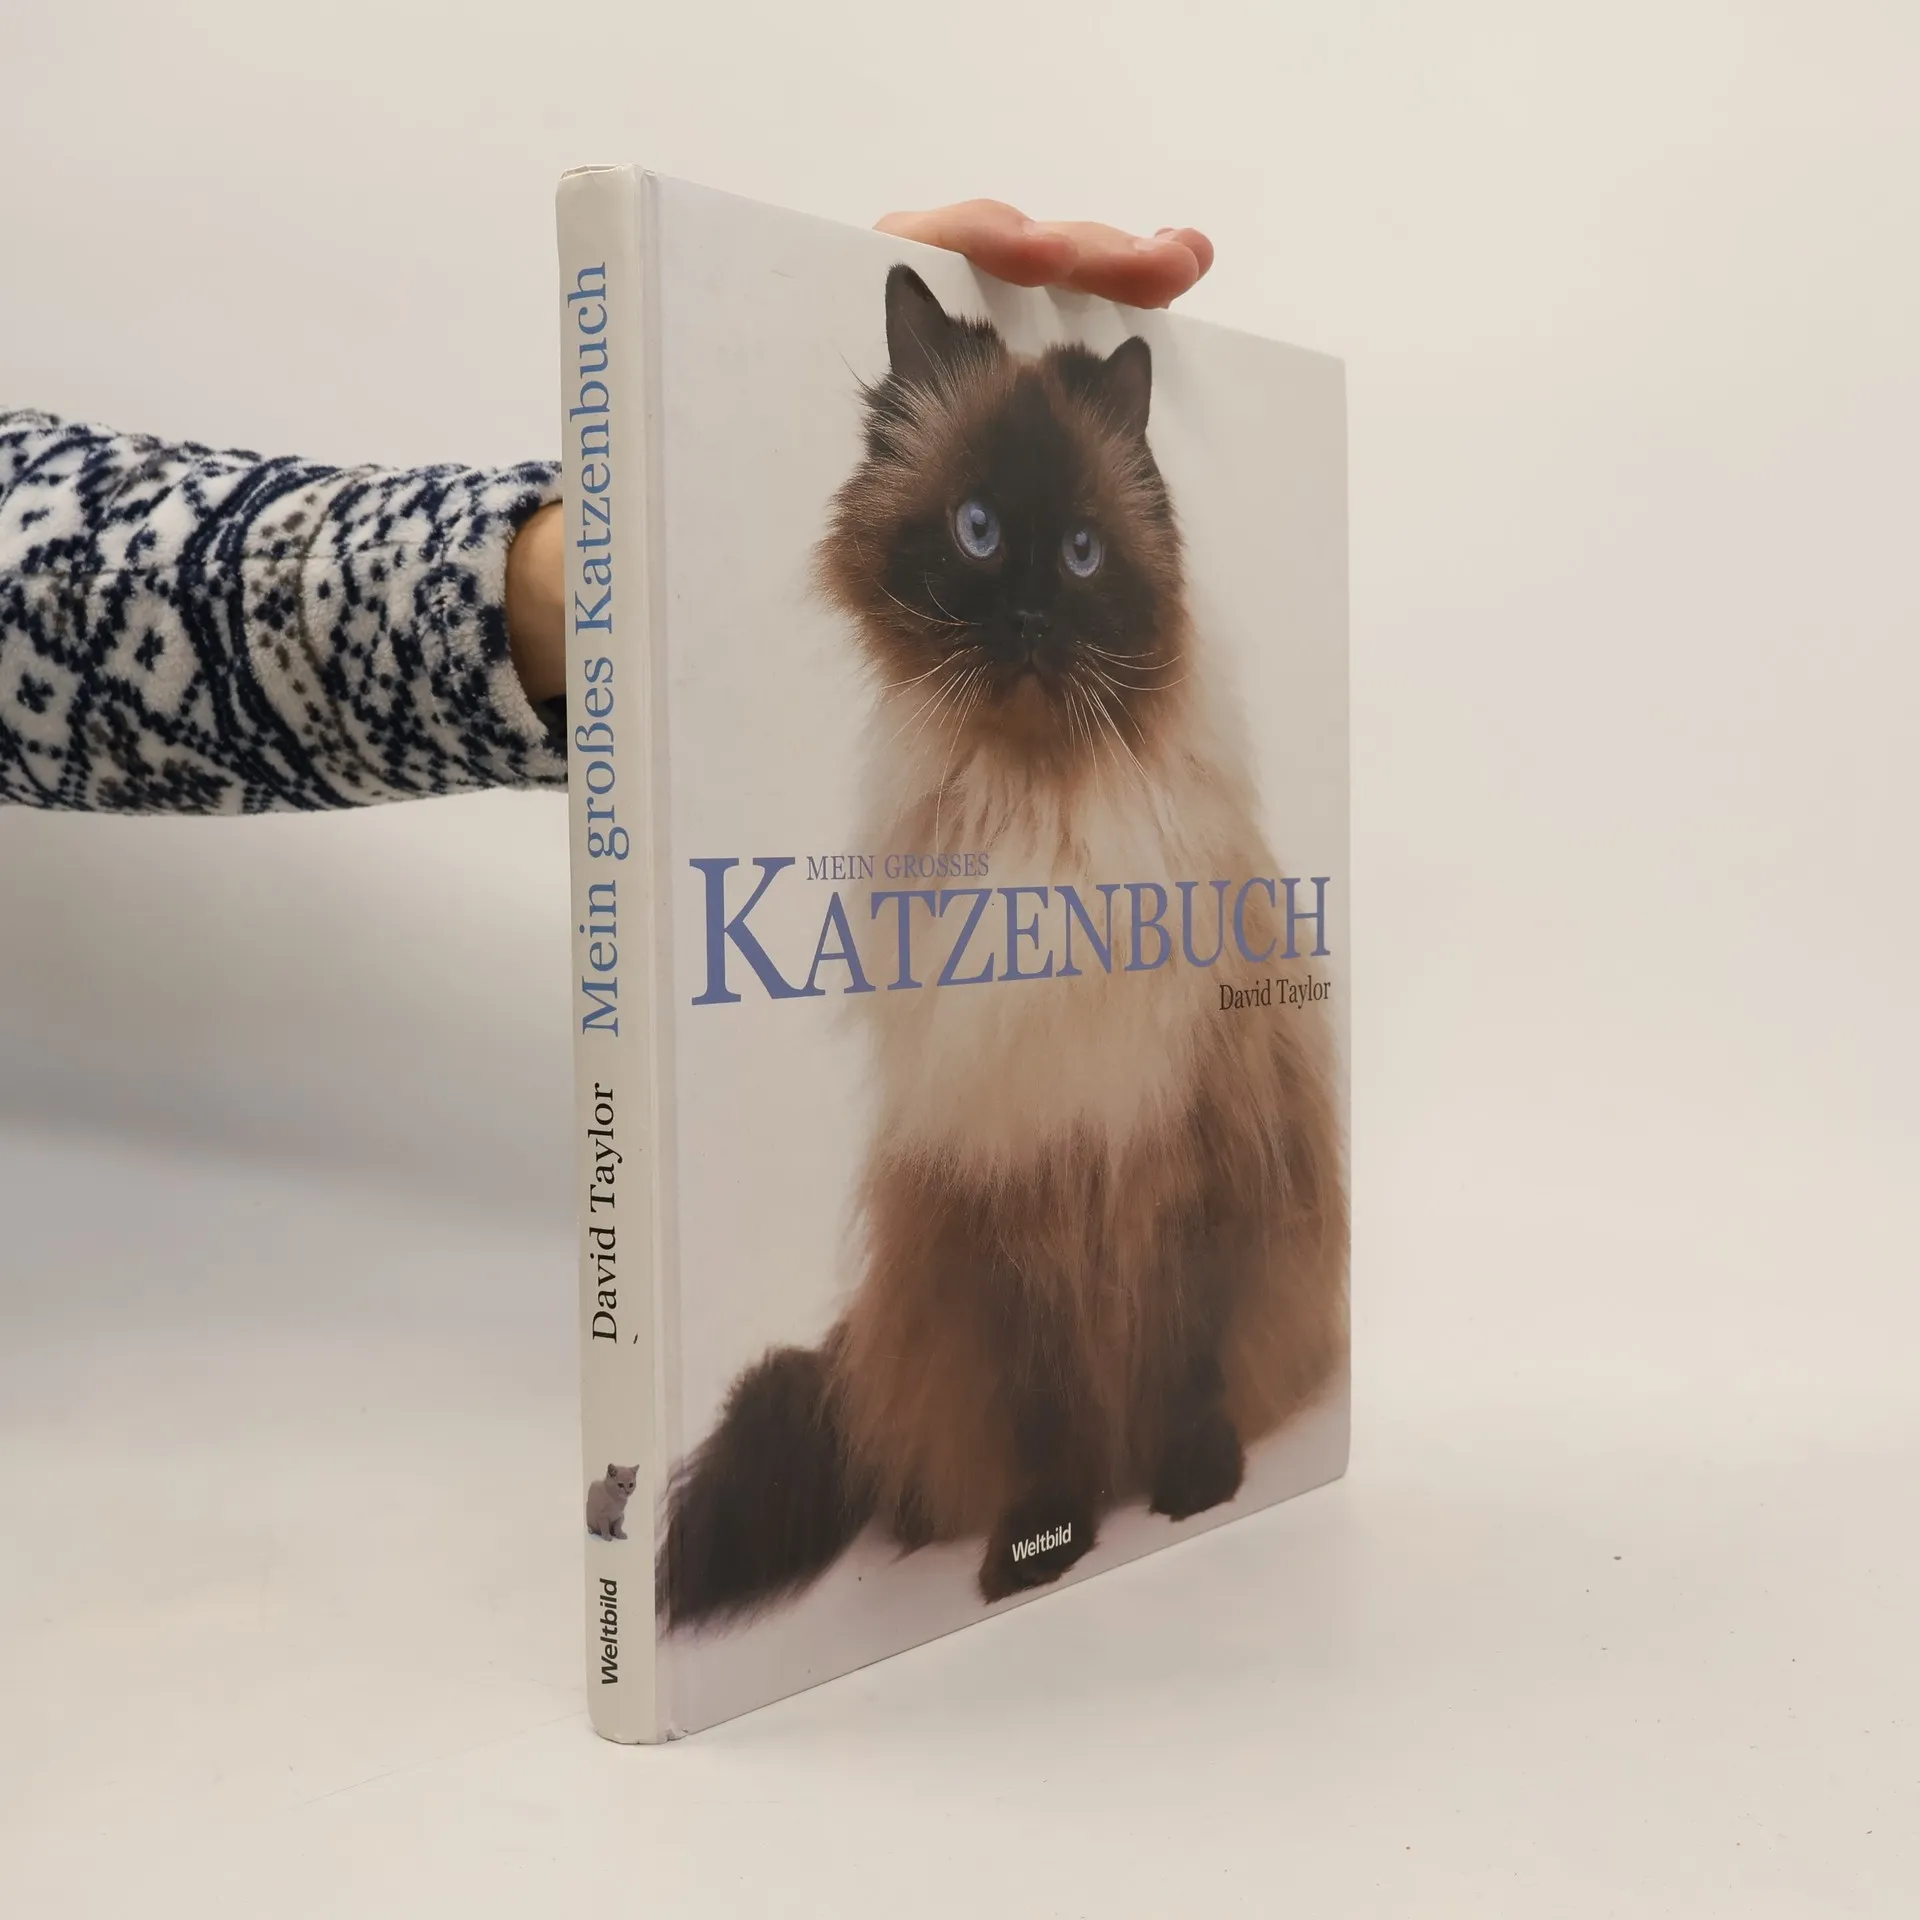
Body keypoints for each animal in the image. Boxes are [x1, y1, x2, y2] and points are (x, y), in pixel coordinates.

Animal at [659, 265, 1347, 1627]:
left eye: (1082, 553)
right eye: (978, 532)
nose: (1029, 620)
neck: (1044, 825)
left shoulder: (1186, 1166)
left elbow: (1187, 1365)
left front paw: (1193, 1488)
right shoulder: (1010, 1196)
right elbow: (1044, 1421)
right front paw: (1042, 1544)